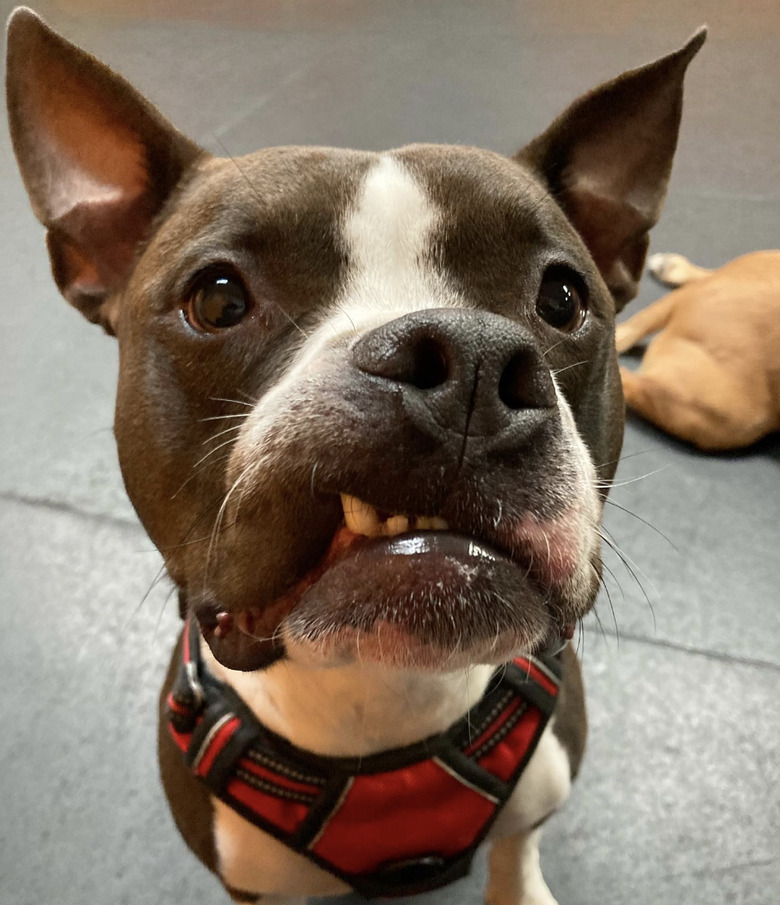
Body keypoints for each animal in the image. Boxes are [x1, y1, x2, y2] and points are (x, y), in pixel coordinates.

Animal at [6, 8, 704, 904]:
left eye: (562, 298)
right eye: (217, 298)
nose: (469, 360)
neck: (382, 689)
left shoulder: (538, 794)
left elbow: (516, 853)